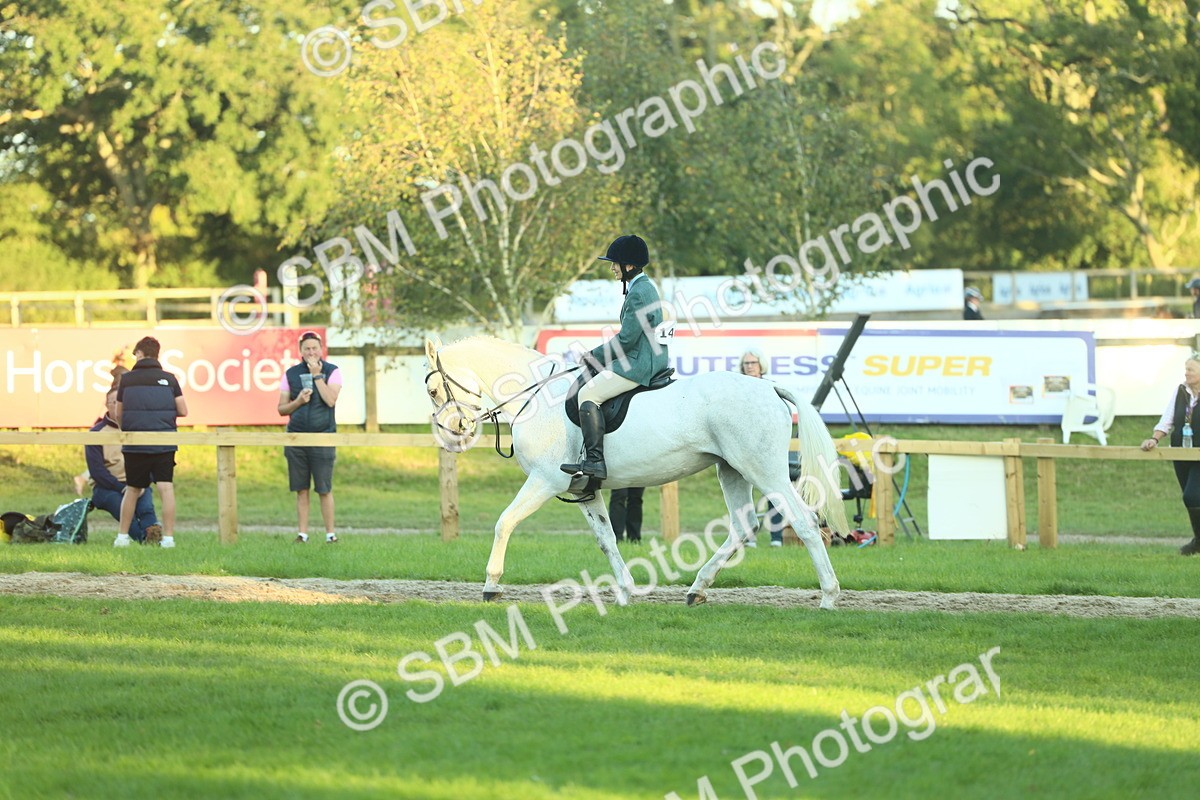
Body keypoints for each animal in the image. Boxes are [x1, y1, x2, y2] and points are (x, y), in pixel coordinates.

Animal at [423, 335, 850, 608]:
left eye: (431, 390)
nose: (454, 432)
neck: (537, 396)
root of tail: (768, 388)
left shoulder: (545, 480)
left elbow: (504, 523)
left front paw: (491, 585)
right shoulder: (584, 489)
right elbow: (606, 539)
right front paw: (626, 592)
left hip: (765, 471)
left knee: (804, 522)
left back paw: (829, 596)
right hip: (732, 471)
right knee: (744, 527)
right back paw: (697, 589)